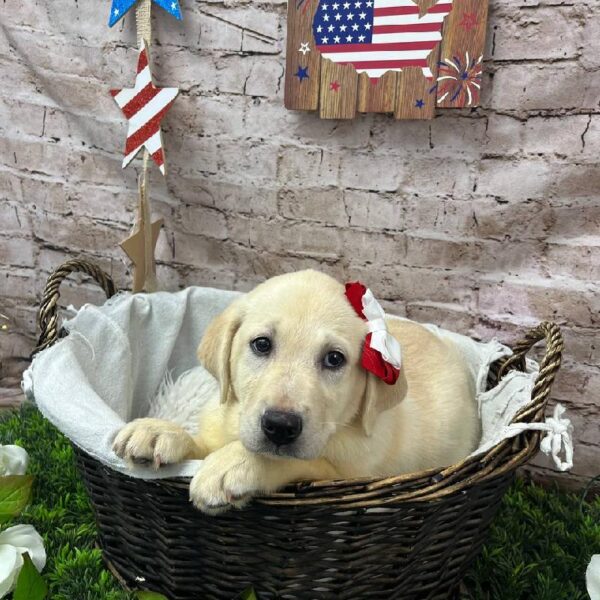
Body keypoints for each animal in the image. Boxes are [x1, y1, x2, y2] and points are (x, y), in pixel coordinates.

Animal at [111, 270, 478, 512]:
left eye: (334, 359)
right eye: (261, 344)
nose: (280, 426)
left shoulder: (346, 474)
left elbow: (294, 461)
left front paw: (232, 465)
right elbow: (203, 443)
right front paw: (160, 432)